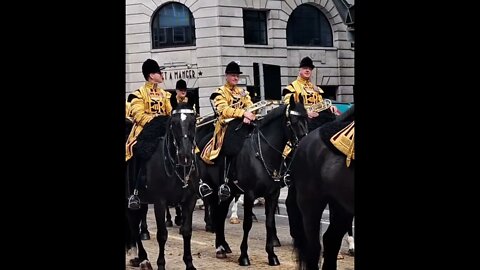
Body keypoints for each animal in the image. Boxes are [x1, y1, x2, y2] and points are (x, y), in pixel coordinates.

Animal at [125, 103, 199, 270]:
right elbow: (162, 234)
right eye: (174, 123)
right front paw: (161, 264)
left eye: (193, 122)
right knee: (133, 225)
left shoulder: (190, 200)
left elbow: (186, 231)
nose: (185, 156)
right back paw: (142, 258)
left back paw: (138, 256)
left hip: (142, 201)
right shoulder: (160, 202)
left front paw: (189, 263)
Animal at [198, 95, 308, 266]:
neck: (263, 152)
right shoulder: (249, 194)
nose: (304, 144)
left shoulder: (272, 195)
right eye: (294, 121)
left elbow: (269, 222)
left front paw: (272, 255)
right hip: (213, 189)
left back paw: (223, 246)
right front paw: (244, 256)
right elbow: (247, 224)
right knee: (215, 212)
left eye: (307, 118)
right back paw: (219, 247)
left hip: (228, 192)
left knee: (221, 215)